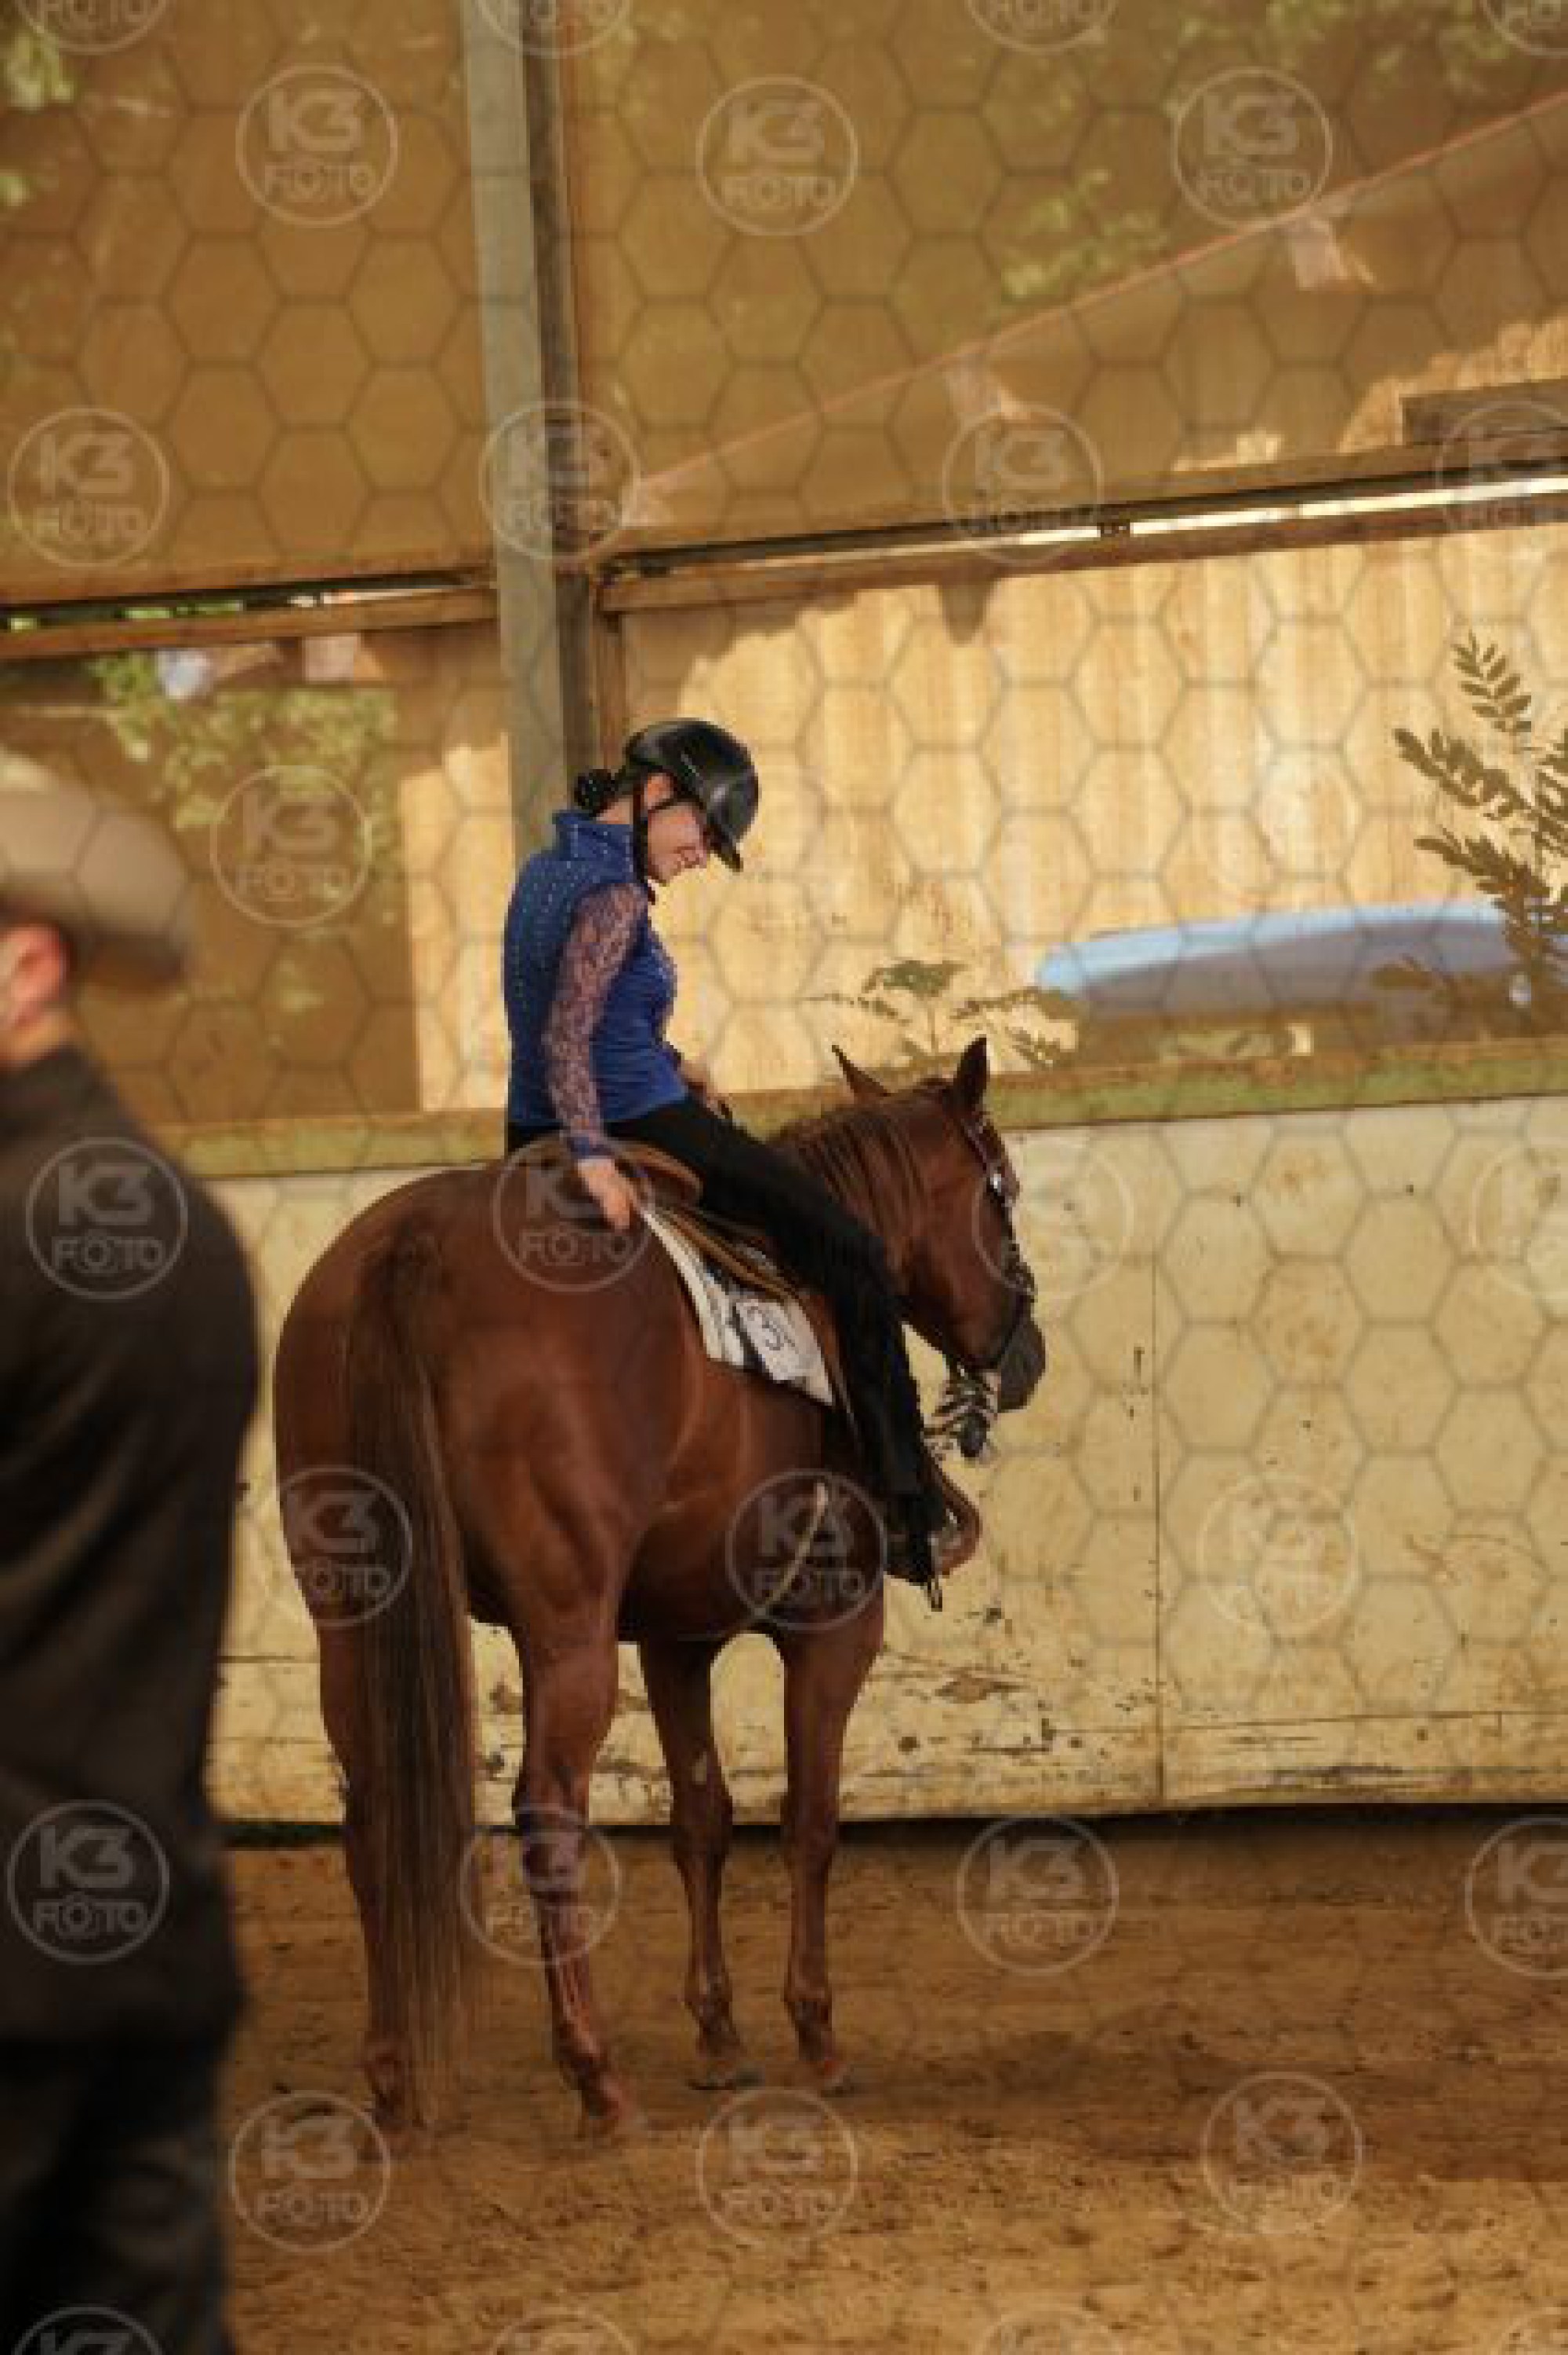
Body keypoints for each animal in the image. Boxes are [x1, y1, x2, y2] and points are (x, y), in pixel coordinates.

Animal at [272, 1037, 1047, 2140]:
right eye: (1001, 1191)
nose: (1024, 1354)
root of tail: (410, 1246)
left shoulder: (675, 1641)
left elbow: (702, 1820)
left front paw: (719, 2038)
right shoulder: (833, 1626)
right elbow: (809, 1821)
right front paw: (815, 2036)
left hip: (350, 1615)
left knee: (372, 1807)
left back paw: (390, 2072)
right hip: (566, 1630)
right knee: (547, 1808)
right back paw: (595, 2076)